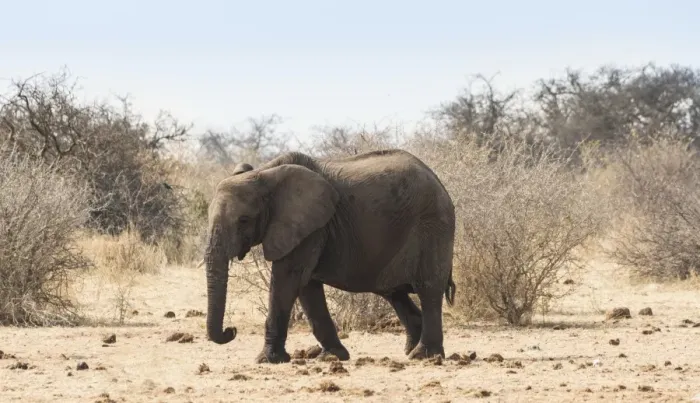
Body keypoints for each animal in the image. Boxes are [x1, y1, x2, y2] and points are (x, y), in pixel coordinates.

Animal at [203, 149, 456, 364]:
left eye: (244, 220)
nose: (231, 330)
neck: (264, 174)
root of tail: (438, 182)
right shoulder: (308, 228)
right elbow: (306, 287)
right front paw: (332, 357)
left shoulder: (311, 228)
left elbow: (288, 278)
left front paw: (266, 360)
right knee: (395, 293)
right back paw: (409, 351)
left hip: (432, 226)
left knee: (428, 290)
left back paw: (424, 356)